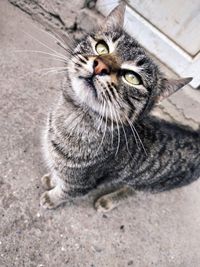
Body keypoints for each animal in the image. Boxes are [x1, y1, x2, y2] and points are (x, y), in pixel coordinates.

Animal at [39, 3, 200, 213]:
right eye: (102, 47)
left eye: (132, 78)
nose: (100, 65)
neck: (71, 114)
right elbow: (57, 172)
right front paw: (52, 178)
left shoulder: (81, 183)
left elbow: (64, 192)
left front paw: (51, 198)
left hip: (149, 186)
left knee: (131, 191)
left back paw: (108, 201)